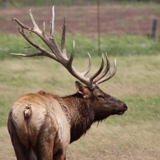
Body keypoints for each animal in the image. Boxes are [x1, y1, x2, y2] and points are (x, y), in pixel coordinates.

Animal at [7, 6, 127, 160]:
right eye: (100, 95)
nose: (124, 105)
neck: (72, 119)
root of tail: (27, 111)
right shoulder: (63, 146)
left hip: (16, 139)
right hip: (46, 140)